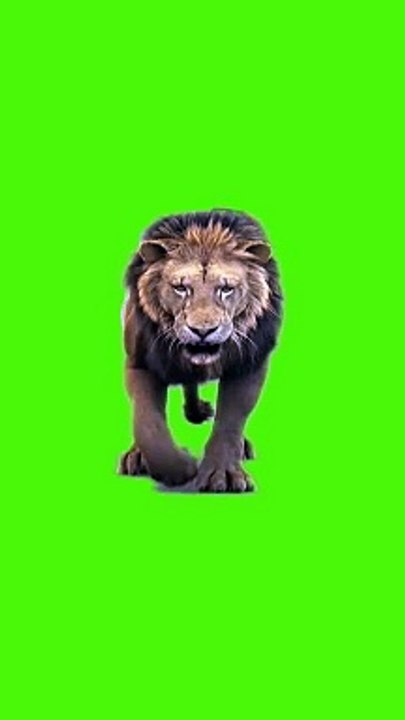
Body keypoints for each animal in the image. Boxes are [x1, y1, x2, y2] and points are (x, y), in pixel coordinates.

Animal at [118, 209, 283, 492]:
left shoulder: (249, 363)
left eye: (226, 289)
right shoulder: (141, 361)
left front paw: (224, 475)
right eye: (180, 288)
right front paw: (177, 468)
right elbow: (147, 422)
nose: (203, 331)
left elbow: (230, 420)